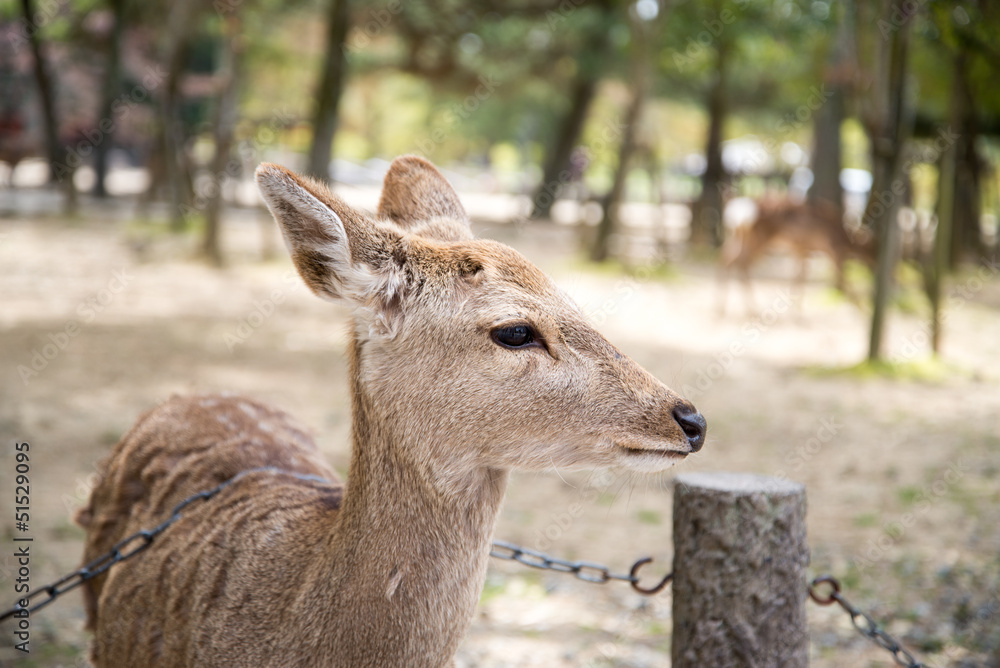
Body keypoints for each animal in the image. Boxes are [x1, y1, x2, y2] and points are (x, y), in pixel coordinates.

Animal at [716, 196, 872, 316]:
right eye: (873, 249)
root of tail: (737, 213)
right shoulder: (828, 250)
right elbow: (840, 279)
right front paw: (862, 309)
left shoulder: (802, 250)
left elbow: (799, 277)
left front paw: (796, 313)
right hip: (758, 240)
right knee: (741, 262)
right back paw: (749, 309)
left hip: (737, 237)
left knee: (727, 258)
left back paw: (722, 309)